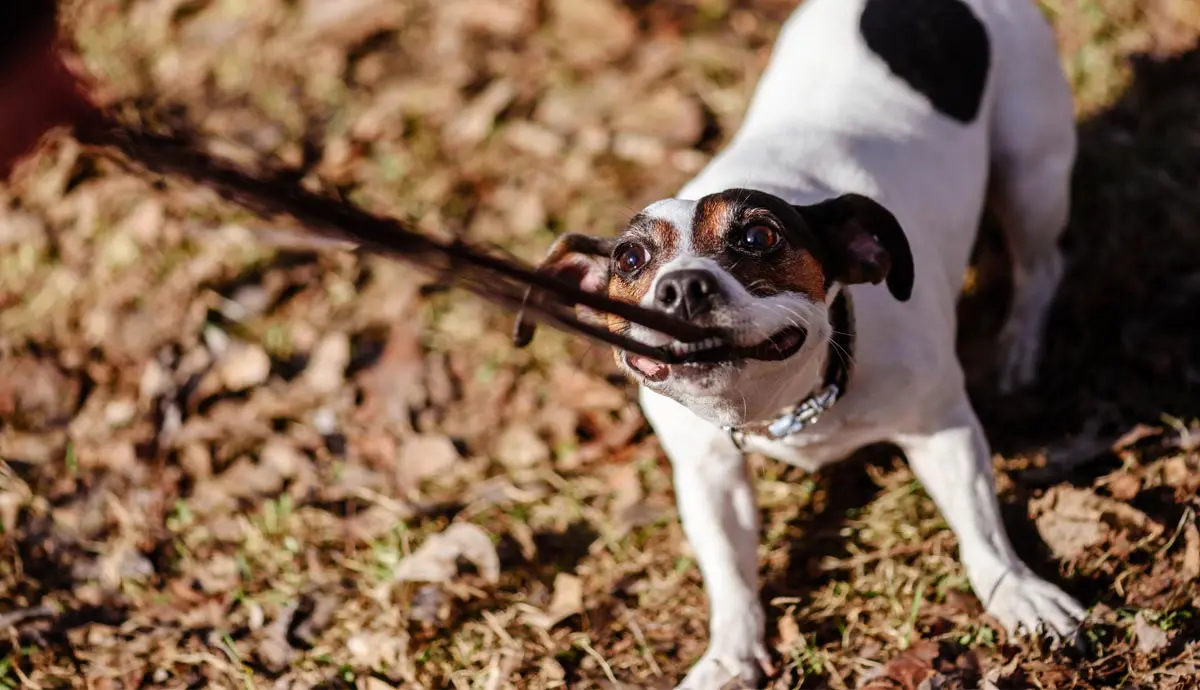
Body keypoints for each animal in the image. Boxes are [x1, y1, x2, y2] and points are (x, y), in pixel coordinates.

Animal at [520, 0, 1084, 686]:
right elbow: (730, 573)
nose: (681, 287)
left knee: (1041, 266)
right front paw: (730, 654)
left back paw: (1020, 346)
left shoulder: (942, 429)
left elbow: (979, 522)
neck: (789, 404)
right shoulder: (710, 476)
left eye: (759, 237)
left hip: (1032, 174)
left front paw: (1016, 589)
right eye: (630, 259)